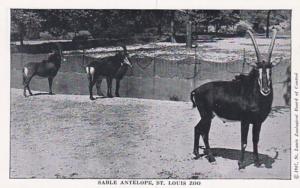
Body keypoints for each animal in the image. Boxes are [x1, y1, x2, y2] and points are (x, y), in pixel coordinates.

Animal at [191, 29, 280, 169]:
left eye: (270, 71)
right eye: (257, 71)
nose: (265, 90)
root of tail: (196, 90)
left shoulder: (258, 122)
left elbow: (255, 140)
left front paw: (257, 162)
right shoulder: (245, 121)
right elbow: (244, 141)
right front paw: (241, 164)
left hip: (208, 116)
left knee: (197, 128)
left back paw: (196, 153)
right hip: (206, 116)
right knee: (204, 133)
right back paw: (211, 158)